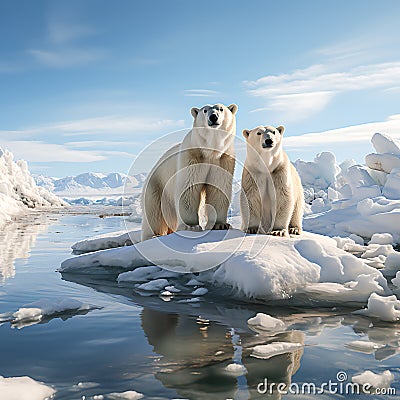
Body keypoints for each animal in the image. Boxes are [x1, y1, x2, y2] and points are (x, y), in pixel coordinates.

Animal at [141, 103, 238, 241]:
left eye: (221, 109)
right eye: (205, 110)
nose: (213, 117)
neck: (210, 152)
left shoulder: (223, 159)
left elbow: (219, 188)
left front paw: (220, 224)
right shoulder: (192, 157)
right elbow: (188, 188)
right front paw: (191, 226)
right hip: (156, 185)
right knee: (153, 212)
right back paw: (154, 235)